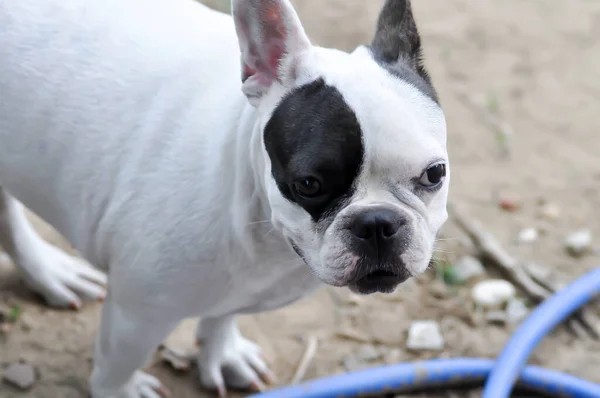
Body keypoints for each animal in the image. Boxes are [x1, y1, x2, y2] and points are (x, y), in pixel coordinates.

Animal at [0, 0, 448, 396]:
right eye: (308, 184)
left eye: (435, 174)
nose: (377, 222)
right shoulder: (136, 317)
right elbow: (116, 369)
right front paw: (121, 391)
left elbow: (222, 316)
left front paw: (222, 353)